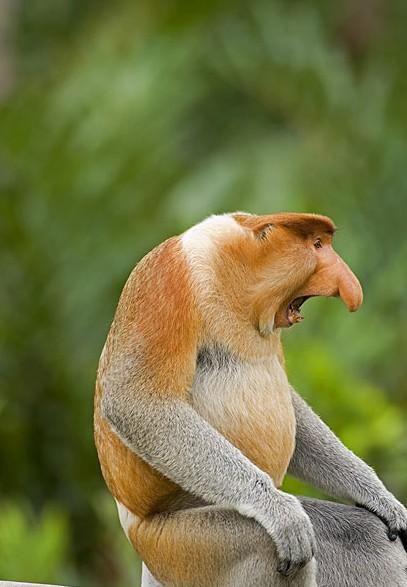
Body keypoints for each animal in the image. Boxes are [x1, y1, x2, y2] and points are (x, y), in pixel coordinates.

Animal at [94, 215, 407, 587]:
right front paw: (280, 513)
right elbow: (135, 401)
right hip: (176, 545)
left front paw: (380, 498)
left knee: (362, 535)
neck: (231, 272)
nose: (351, 289)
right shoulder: (167, 278)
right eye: (317, 245)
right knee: (266, 547)